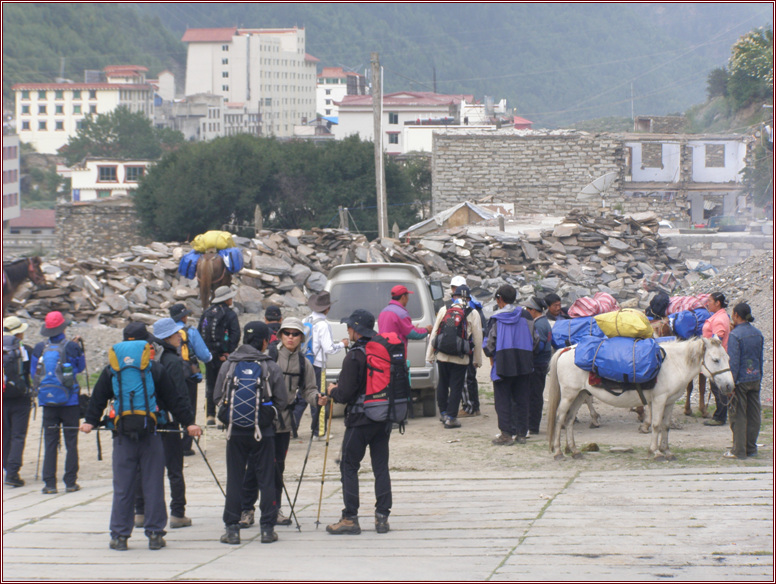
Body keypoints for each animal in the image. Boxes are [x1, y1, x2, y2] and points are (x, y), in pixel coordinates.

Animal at [544, 338, 732, 460]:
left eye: (728, 358)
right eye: (715, 360)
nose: (729, 386)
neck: (674, 364)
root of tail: (567, 350)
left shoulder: (670, 402)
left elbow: (665, 426)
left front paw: (667, 451)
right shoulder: (659, 400)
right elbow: (656, 425)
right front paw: (656, 452)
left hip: (580, 394)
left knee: (569, 420)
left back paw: (574, 450)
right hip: (569, 395)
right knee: (560, 419)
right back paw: (558, 452)